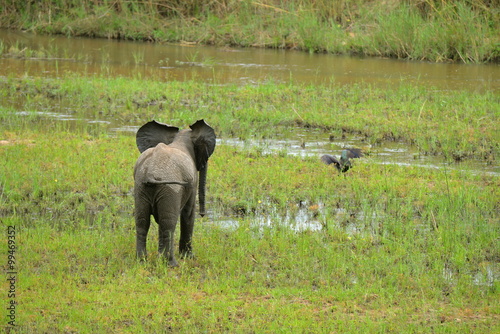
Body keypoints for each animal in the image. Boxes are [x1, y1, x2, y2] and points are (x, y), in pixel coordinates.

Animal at [134, 119, 216, 266]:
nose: (202, 215)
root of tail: (150, 172)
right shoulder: (191, 182)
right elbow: (188, 213)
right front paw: (189, 257)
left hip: (140, 187)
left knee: (142, 222)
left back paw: (142, 261)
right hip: (170, 188)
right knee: (168, 223)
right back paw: (172, 264)